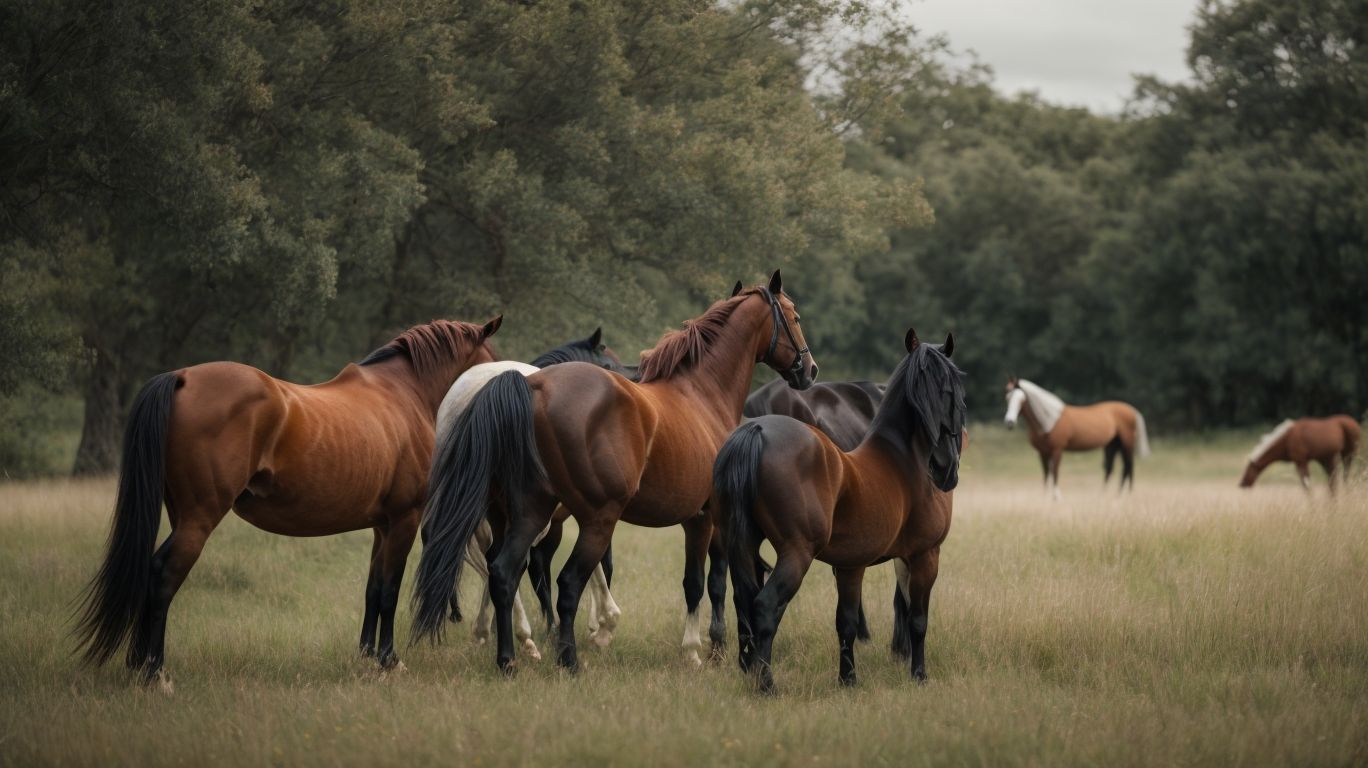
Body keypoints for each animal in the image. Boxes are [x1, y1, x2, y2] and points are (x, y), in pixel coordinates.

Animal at [74, 318, 503, 684]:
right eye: (494, 366)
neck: (402, 393)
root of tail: (181, 377)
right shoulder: (403, 520)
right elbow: (390, 591)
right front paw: (389, 660)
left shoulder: (382, 527)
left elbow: (373, 588)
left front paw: (366, 655)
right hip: (198, 520)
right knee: (163, 576)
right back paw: (154, 672)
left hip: (180, 514)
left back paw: (138, 663)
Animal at [411, 271, 816, 673]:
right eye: (795, 317)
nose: (809, 371)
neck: (701, 394)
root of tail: (531, 386)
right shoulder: (706, 518)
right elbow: (704, 583)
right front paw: (699, 650)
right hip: (594, 520)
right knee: (567, 582)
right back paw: (568, 659)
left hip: (529, 512)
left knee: (503, 573)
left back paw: (509, 658)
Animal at [715, 328, 964, 692]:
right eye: (953, 393)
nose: (946, 469)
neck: (904, 458)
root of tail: (755, 430)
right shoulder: (925, 555)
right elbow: (917, 618)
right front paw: (919, 674)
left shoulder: (850, 566)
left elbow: (846, 623)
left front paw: (848, 679)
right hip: (796, 554)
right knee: (764, 607)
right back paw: (766, 684)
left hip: (743, 545)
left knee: (744, 604)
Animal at [1003, 377, 1150, 498]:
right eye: (1007, 397)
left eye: (1022, 400)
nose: (1010, 422)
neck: (1048, 421)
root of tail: (1132, 410)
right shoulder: (1043, 452)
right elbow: (1046, 473)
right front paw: (1044, 496)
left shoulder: (1057, 450)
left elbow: (1055, 471)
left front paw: (1056, 497)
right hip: (1113, 443)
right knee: (1111, 468)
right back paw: (1106, 495)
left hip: (1126, 442)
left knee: (1128, 466)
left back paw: (1125, 495)